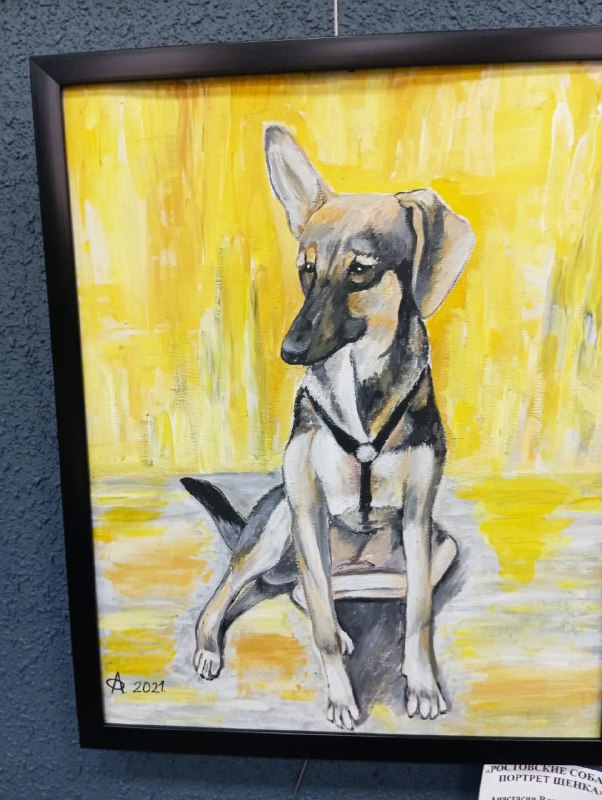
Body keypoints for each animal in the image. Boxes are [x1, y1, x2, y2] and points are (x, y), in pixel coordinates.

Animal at [182, 124, 474, 730]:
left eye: (361, 269)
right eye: (305, 269)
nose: (289, 351)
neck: (356, 390)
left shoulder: (418, 518)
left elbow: (418, 613)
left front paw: (422, 684)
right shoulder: (307, 509)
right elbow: (316, 622)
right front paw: (341, 697)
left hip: (443, 546)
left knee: (341, 590)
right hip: (276, 529)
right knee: (237, 593)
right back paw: (211, 645)